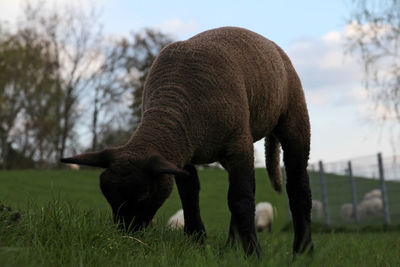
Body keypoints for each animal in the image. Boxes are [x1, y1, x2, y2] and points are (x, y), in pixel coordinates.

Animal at [61, 26, 314, 258]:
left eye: (143, 195)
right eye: (108, 196)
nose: (128, 236)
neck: (174, 106)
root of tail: (271, 43)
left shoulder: (237, 145)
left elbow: (241, 199)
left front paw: (253, 253)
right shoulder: (182, 155)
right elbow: (190, 197)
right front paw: (198, 242)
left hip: (294, 119)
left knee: (298, 187)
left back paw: (303, 251)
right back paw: (232, 246)